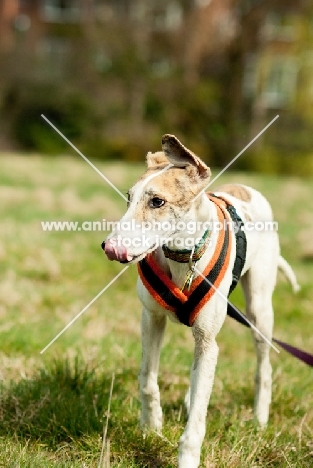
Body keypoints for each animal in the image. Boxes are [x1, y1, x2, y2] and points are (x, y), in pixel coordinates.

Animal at [102, 134, 298, 468]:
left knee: (263, 368)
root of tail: (246, 188)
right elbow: (147, 379)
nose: (109, 247)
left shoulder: (207, 341)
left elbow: (196, 419)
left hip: (259, 311)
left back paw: (259, 419)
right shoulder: (151, 319)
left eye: (157, 201)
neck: (184, 257)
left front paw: (187, 457)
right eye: (129, 197)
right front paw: (151, 428)